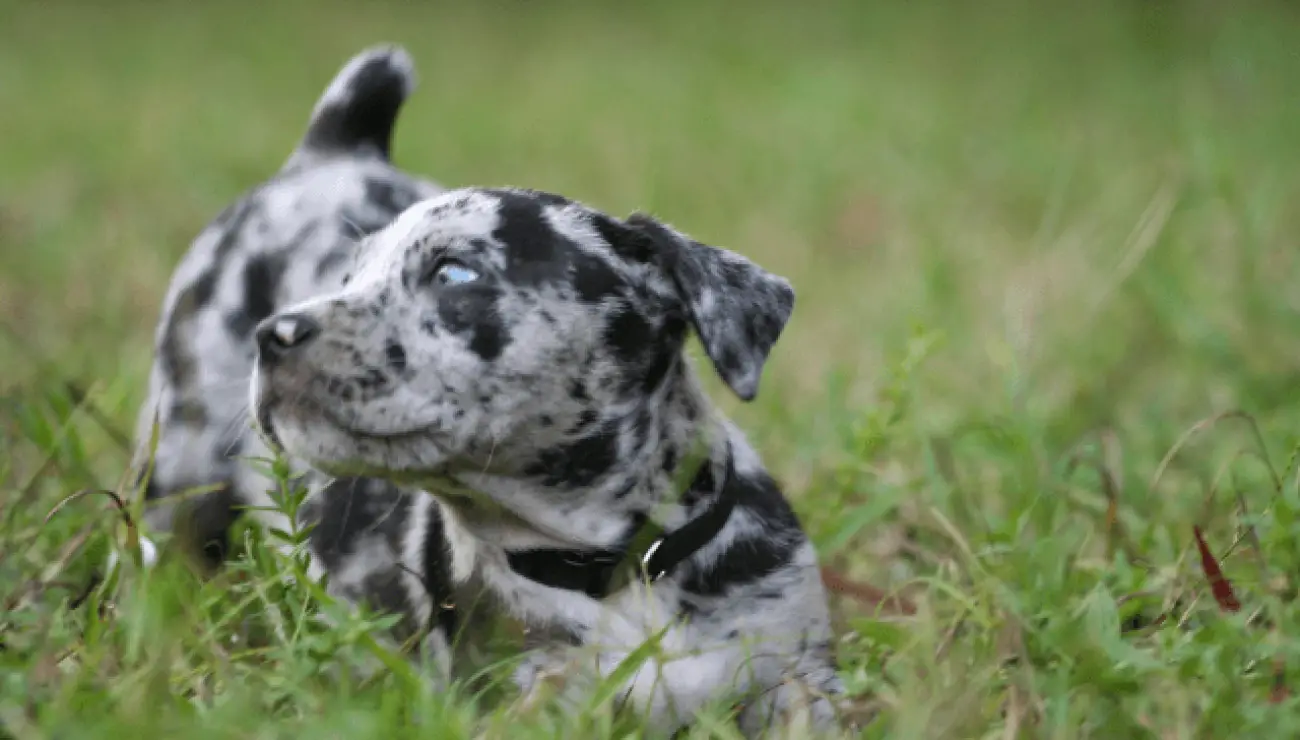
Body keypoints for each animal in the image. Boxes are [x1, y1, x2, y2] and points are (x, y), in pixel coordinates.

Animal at [248, 188, 847, 733]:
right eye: (348, 280)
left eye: (453, 274)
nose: (272, 333)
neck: (618, 569)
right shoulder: (526, 689)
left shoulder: (795, 672)